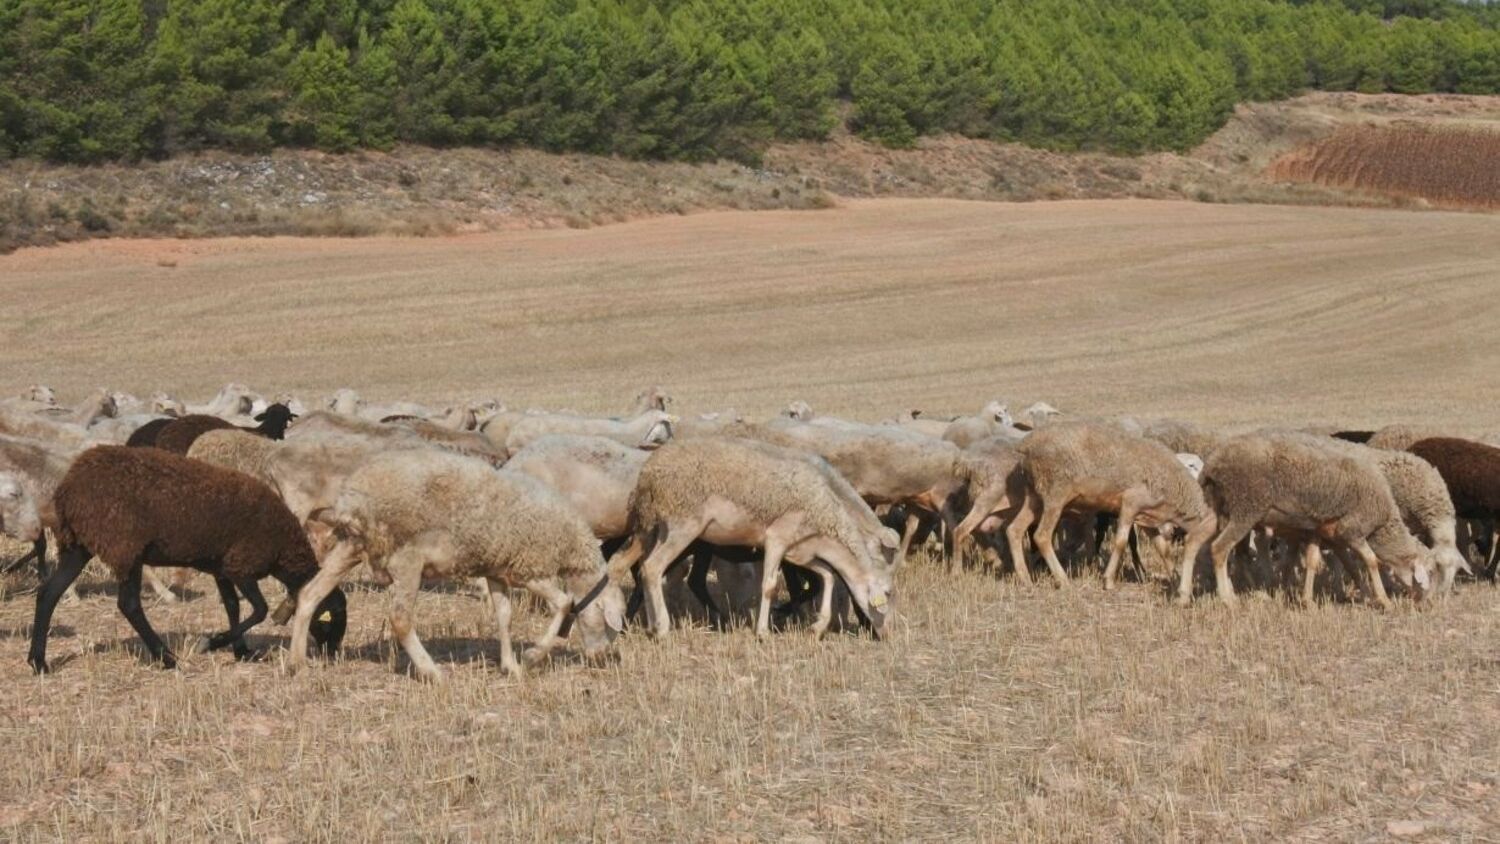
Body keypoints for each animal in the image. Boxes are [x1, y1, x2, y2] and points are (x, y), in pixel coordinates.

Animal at [289, 452, 624, 683]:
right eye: (610, 625)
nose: (605, 658)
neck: (569, 547)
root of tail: (350, 500)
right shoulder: (528, 567)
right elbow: (564, 603)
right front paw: (533, 656)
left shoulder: (497, 568)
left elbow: (505, 617)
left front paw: (511, 666)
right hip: (406, 558)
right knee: (400, 618)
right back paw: (432, 672)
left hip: (351, 546)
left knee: (310, 594)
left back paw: (298, 662)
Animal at [606, 434, 894, 641]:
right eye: (888, 594)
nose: (886, 635)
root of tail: (650, 471)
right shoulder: (777, 539)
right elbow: (769, 586)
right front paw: (763, 631)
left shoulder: (800, 552)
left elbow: (827, 576)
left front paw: (817, 627)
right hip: (683, 527)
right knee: (653, 568)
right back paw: (662, 628)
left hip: (651, 529)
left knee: (626, 566)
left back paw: (636, 624)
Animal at [1008, 419, 1218, 587]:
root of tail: (1026, 445)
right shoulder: (1130, 503)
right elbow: (1121, 541)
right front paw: (1108, 580)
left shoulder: (1148, 517)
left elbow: (1162, 549)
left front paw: (1174, 578)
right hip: (1055, 494)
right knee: (1042, 536)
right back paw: (1062, 579)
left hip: (1035, 496)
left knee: (1014, 530)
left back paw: (1025, 578)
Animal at [1194, 434, 1428, 608]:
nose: (1423, 602)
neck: (1383, 521)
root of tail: (1211, 464)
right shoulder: (1352, 530)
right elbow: (1371, 561)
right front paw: (1384, 600)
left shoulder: (1322, 532)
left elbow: (1321, 562)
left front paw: (1308, 600)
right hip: (1245, 509)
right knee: (1219, 548)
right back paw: (1228, 599)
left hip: (1220, 509)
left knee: (1203, 543)